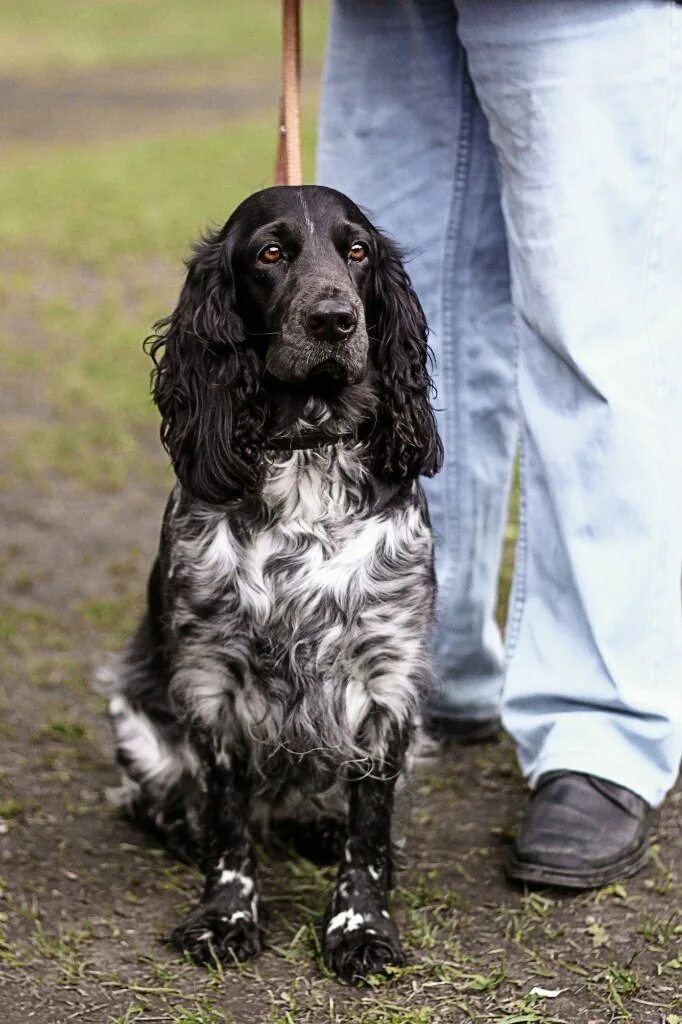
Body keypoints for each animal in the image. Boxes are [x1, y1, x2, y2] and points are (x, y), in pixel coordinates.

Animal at [103, 186, 438, 983]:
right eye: (271, 253)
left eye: (358, 251)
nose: (334, 319)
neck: (308, 456)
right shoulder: (212, 682)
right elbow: (228, 824)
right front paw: (225, 915)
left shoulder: (388, 684)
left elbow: (368, 833)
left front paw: (360, 925)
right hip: (130, 712)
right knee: (160, 798)